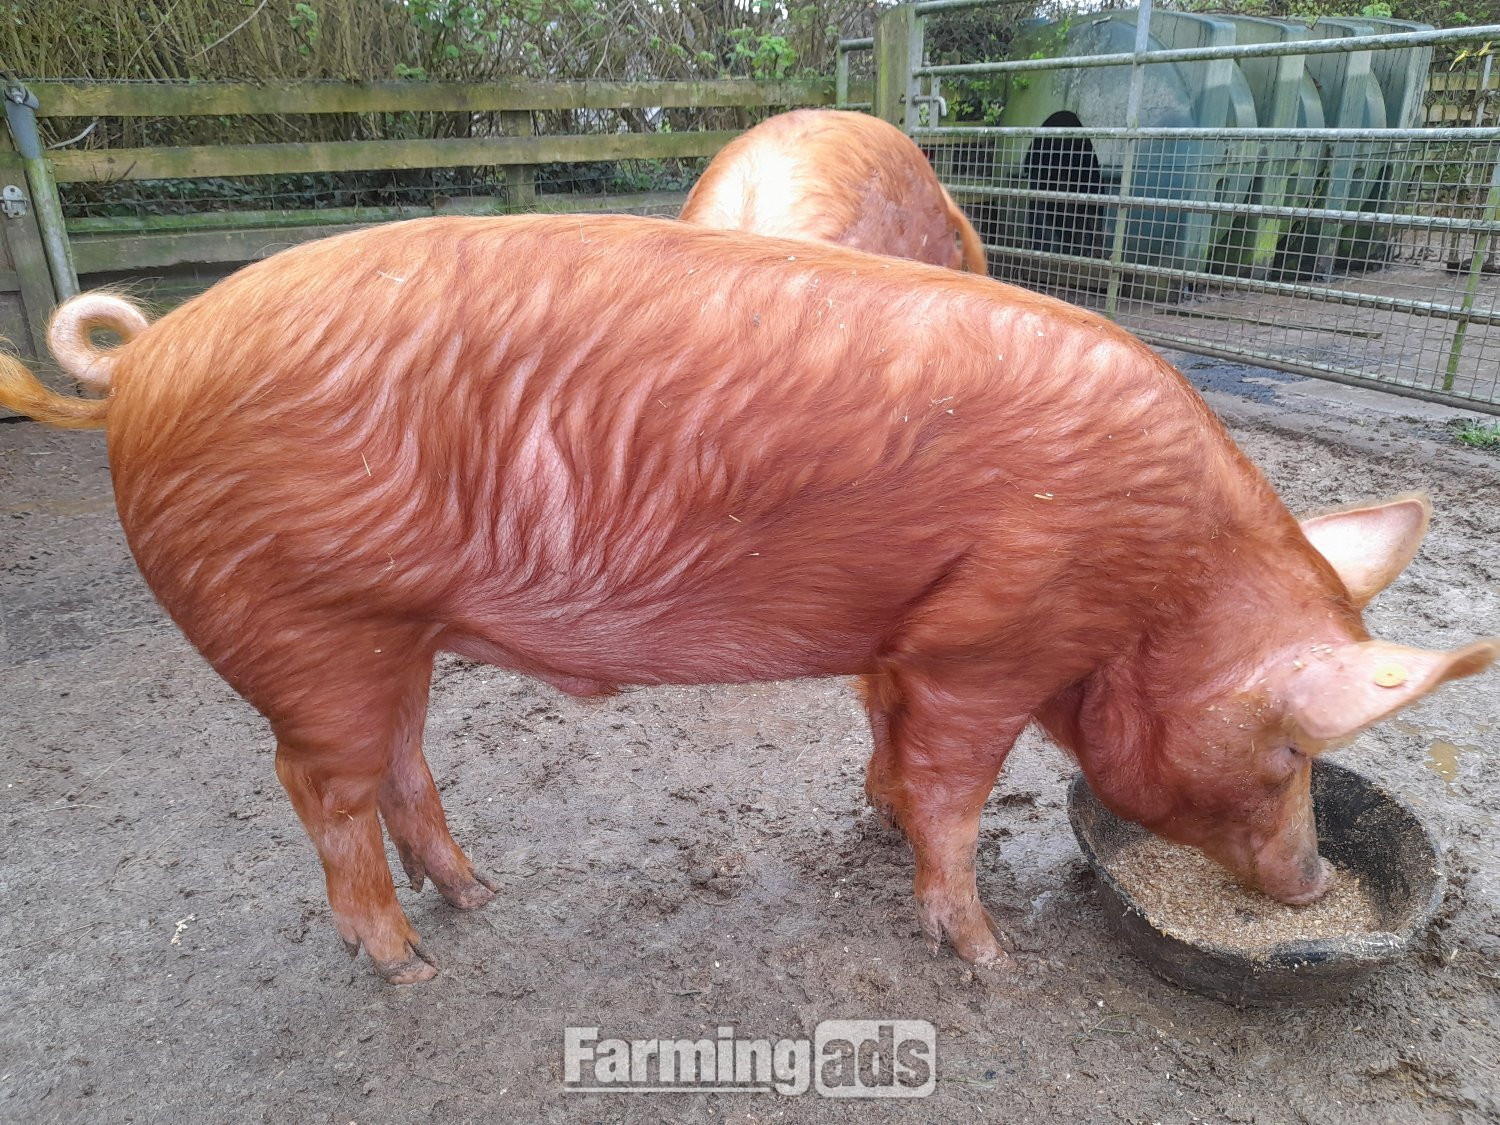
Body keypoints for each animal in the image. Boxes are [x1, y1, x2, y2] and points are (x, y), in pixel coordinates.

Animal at [1, 214, 1493, 985]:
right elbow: (957, 793)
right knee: (320, 790)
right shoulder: (992, 643)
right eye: (1293, 751)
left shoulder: (910, 637)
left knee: (399, 764)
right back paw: (409, 960)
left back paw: (478, 897)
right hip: (305, 623)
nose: (1311, 882)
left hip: (389, 636)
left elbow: (890, 742)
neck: (1154, 583)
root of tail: (145, 362)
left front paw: (876, 821)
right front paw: (985, 956)